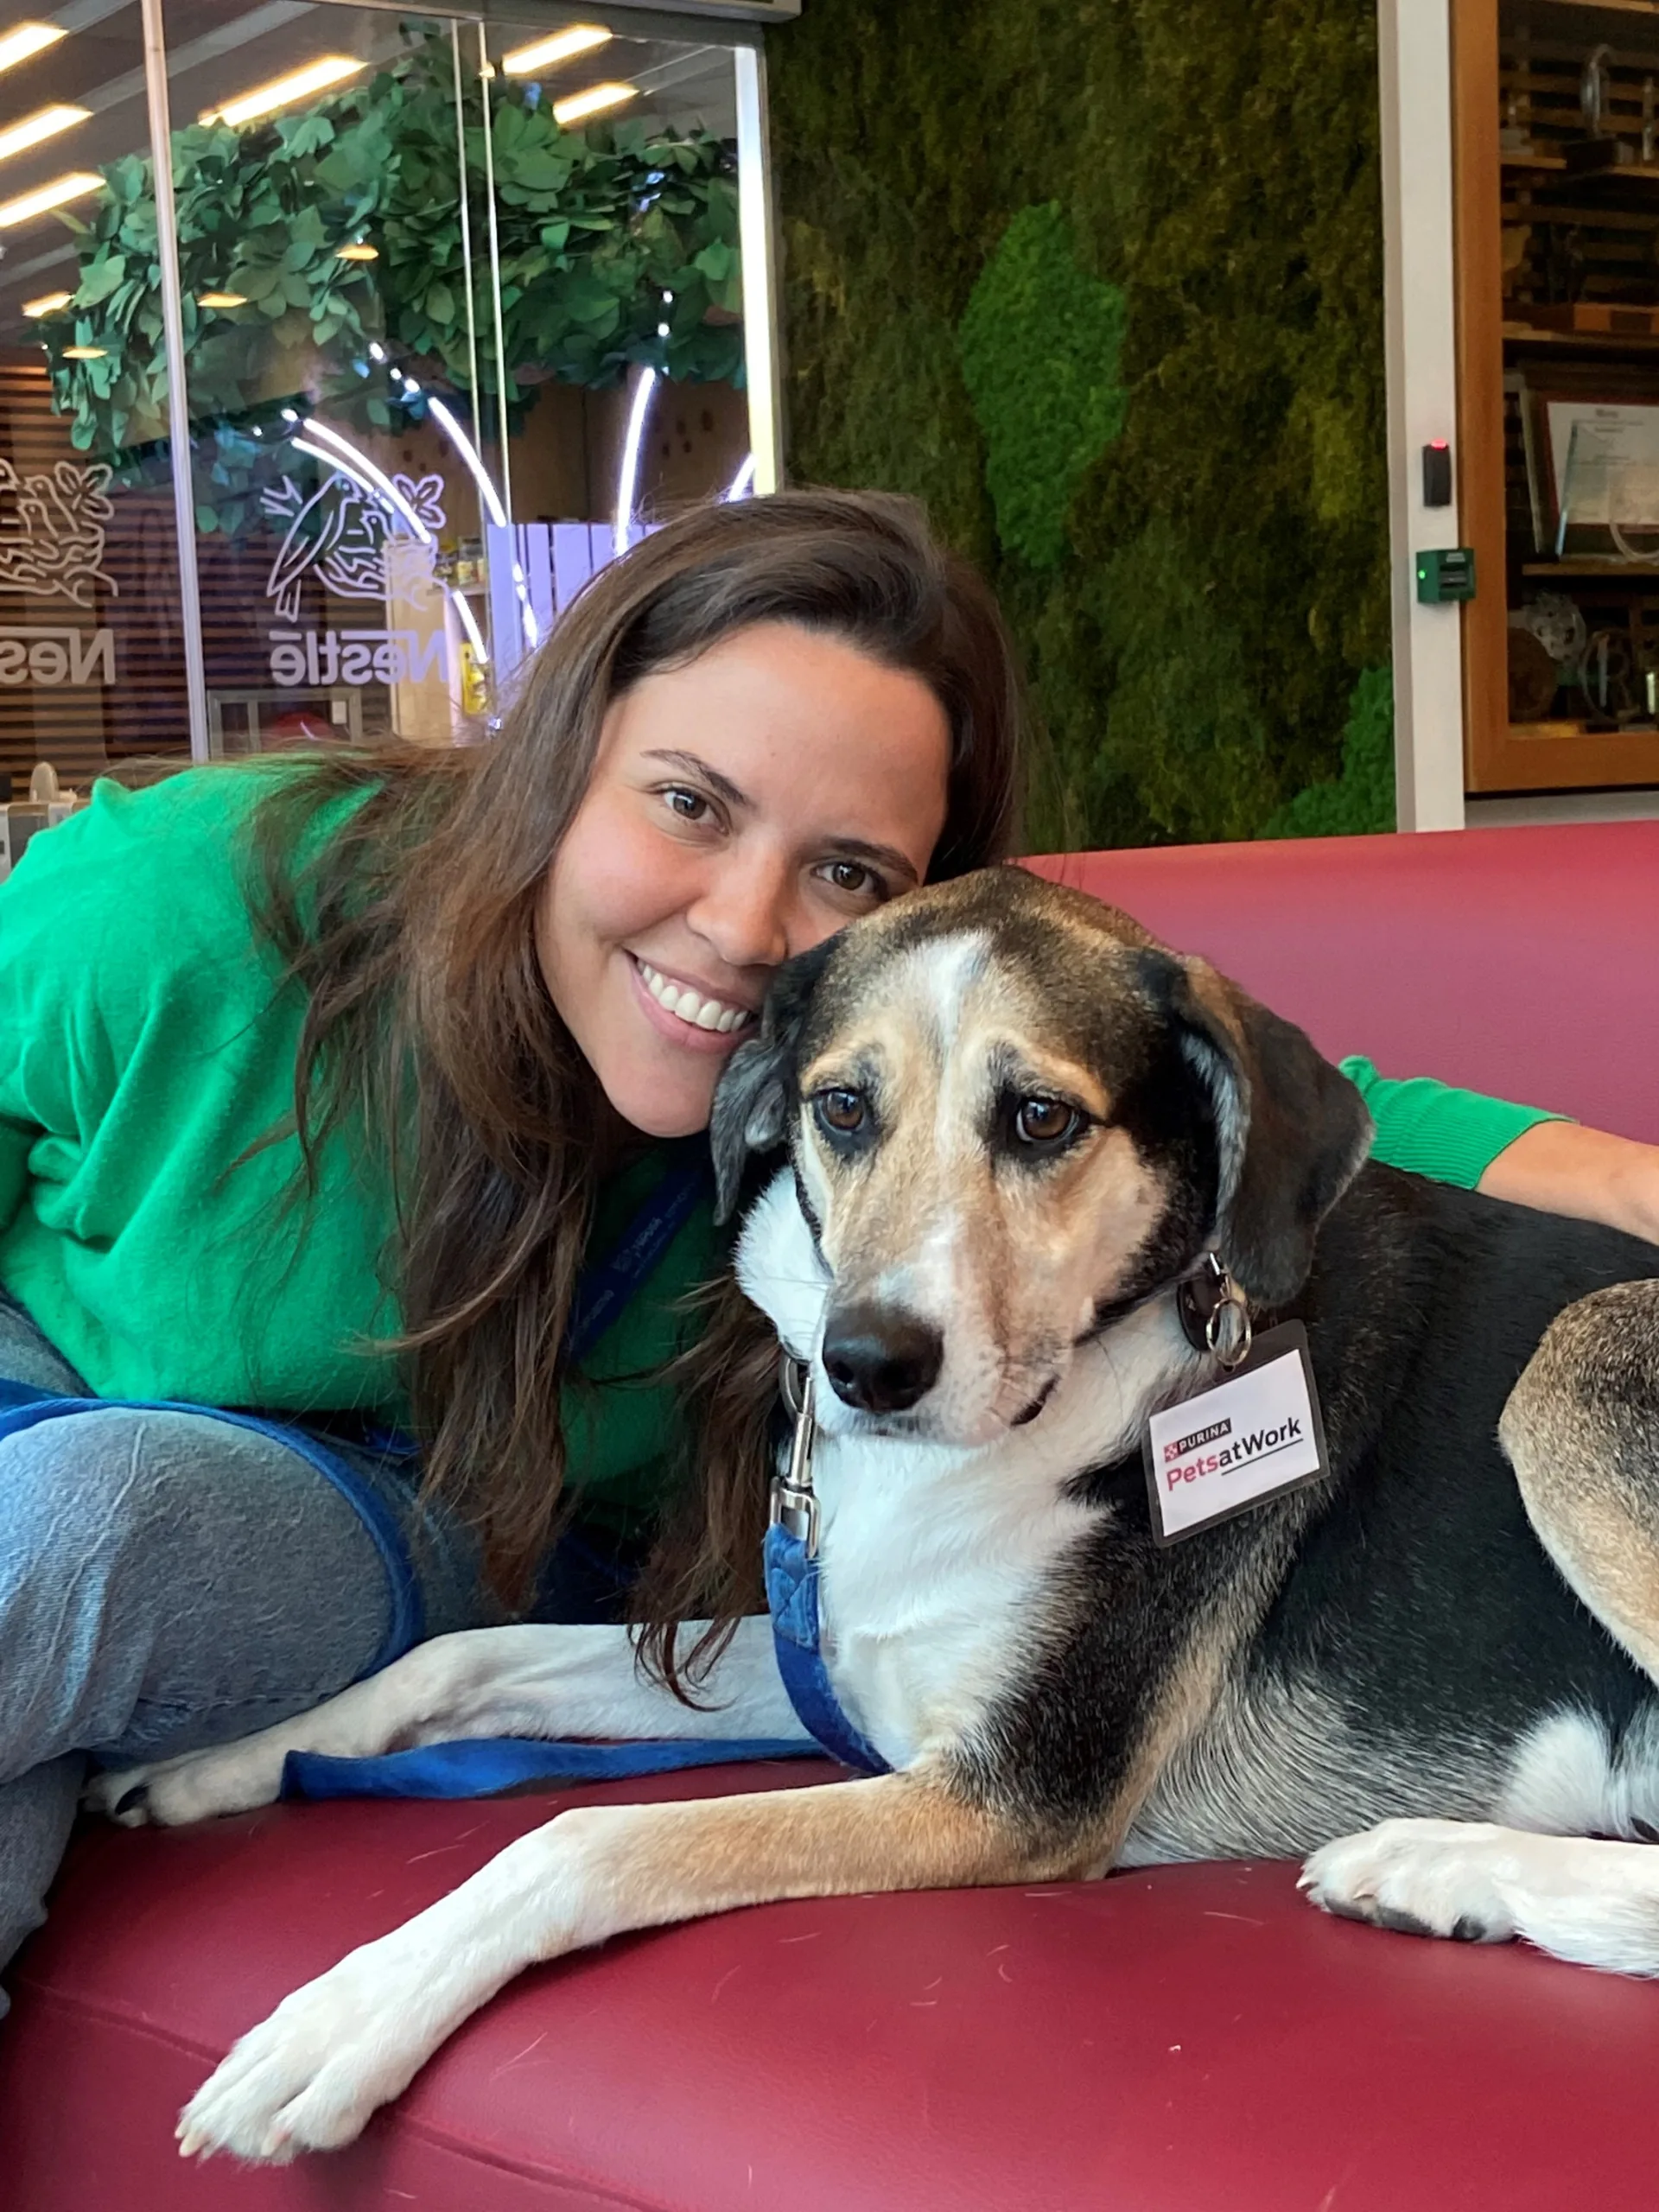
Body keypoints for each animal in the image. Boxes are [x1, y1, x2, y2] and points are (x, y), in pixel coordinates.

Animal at [89, 865, 1659, 2165]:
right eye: (843, 1107)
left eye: (1042, 1117)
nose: (866, 1364)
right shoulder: (842, 1660)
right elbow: (456, 1656)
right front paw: (228, 1760)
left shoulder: (1010, 1793)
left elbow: (581, 1839)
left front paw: (341, 2017)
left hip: (1574, 1364)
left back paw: (1432, 1861)